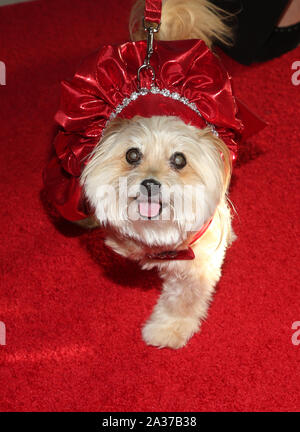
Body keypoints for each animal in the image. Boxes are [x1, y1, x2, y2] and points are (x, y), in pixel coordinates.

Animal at [78, 0, 234, 350]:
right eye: (132, 155)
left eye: (179, 160)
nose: (150, 184)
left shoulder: (198, 259)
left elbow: (183, 299)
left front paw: (167, 330)